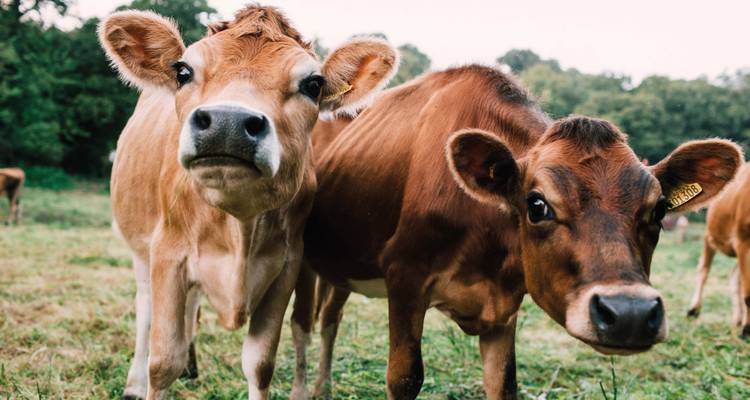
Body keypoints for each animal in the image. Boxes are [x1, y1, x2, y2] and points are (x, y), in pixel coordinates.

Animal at [97, 6, 397, 399]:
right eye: (183, 71)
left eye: (313, 84)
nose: (228, 122)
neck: (237, 226)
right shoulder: (168, 255)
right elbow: (162, 363)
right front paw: (156, 374)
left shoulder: (287, 266)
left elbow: (260, 365)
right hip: (140, 250)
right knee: (145, 307)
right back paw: (135, 382)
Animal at [291, 65, 744, 399]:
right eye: (537, 204)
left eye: (659, 209)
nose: (629, 313)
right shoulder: (404, 276)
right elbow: (404, 378)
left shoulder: (504, 304)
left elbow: (503, 384)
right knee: (307, 322)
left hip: (344, 269)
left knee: (331, 315)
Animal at [687, 163, 750, 336]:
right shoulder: (743, 239)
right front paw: (746, 329)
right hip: (709, 236)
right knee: (703, 269)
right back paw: (694, 310)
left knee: (735, 277)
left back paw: (737, 319)